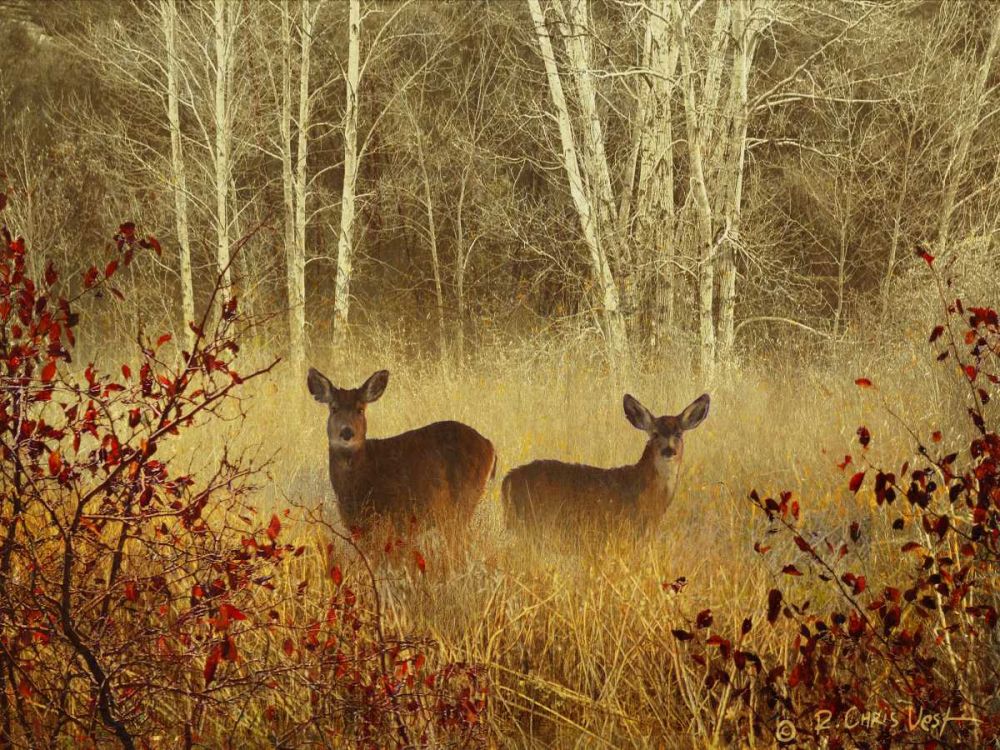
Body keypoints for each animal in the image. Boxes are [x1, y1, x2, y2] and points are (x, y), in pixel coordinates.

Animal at [307, 368, 497, 535]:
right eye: (333, 408)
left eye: (360, 409)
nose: (347, 432)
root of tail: (490, 445)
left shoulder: (395, 519)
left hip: (463, 502)